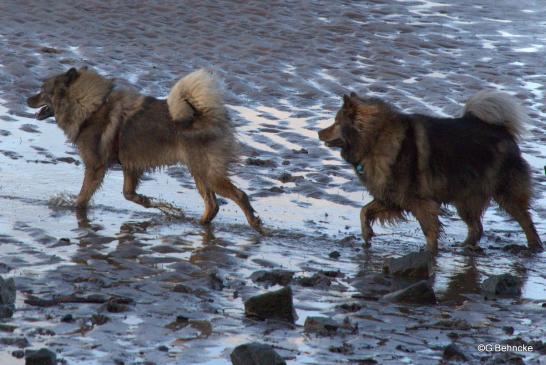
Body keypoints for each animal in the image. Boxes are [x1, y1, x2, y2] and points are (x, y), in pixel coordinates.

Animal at [27, 67, 262, 229]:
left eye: (43, 90)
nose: (27, 98)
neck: (91, 107)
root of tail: (208, 115)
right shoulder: (131, 166)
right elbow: (129, 194)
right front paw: (157, 205)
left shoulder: (95, 168)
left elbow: (82, 198)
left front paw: (77, 211)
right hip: (199, 173)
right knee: (213, 205)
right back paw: (199, 224)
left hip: (208, 174)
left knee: (239, 195)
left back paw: (255, 224)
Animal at [318, 89, 540, 252]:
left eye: (336, 122)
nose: (319, 132)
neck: (375, 139)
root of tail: (502, 130)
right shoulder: (392, 197)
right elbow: (364, 211)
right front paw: (366, 234)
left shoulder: (418, 201)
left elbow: (429, 231)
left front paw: (429, 253)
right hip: (465, 198)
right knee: (477, 227)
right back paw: (464, 247)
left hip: (505, 193)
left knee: (526, 221)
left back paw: (534, 247)